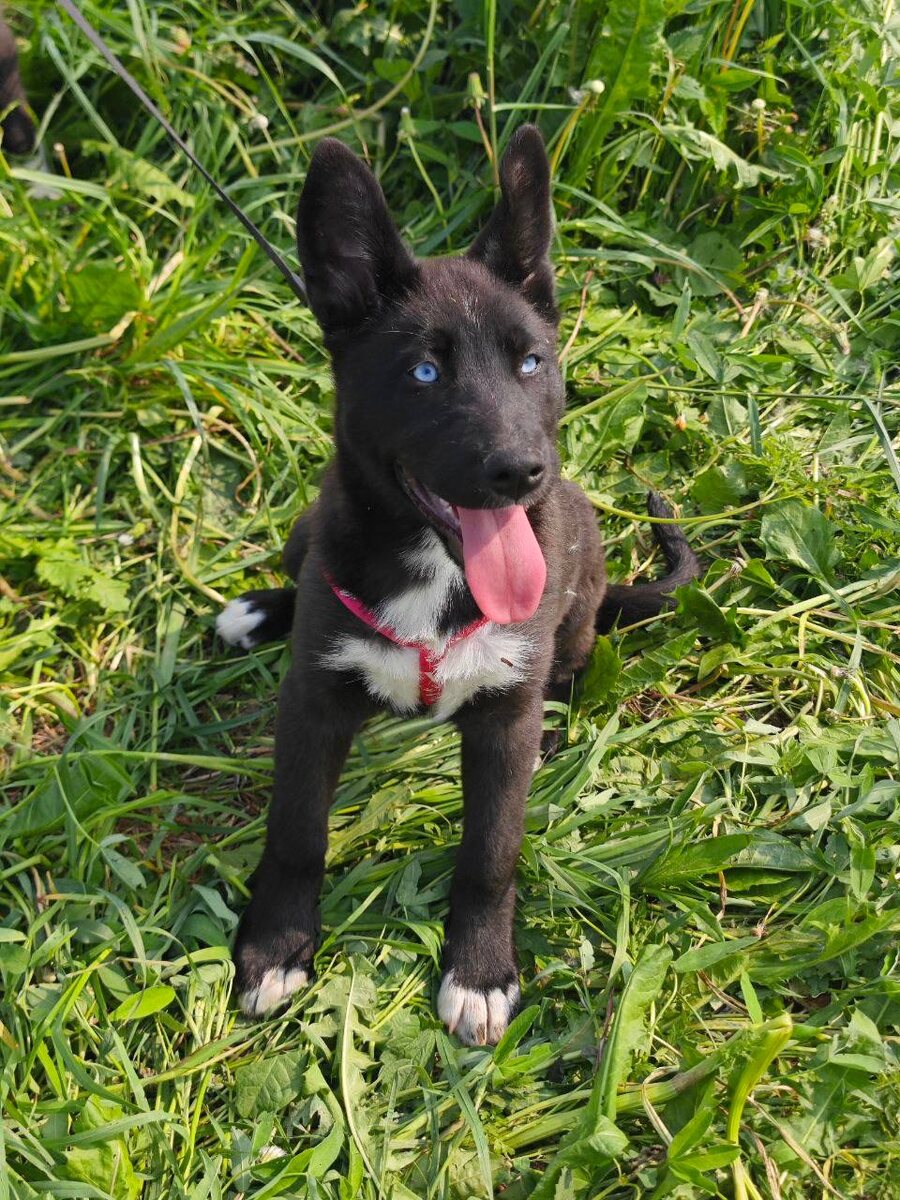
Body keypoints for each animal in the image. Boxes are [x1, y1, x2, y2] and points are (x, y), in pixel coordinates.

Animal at [217, 126, 699, 1045]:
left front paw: (478, 973)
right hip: (306, 531)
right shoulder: (311, 703)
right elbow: (295, 830)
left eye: (531, 362)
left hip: (578, 595)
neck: (436, 573)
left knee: (570, 663)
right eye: (423, 374)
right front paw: (276, 947)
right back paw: (259, 610)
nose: (521, 473)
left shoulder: (502, 725)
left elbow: (490, 853)